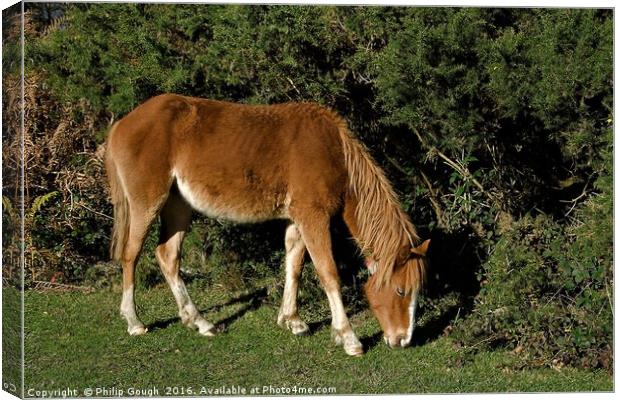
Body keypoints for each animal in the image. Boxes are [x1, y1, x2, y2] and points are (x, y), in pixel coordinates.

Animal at [104, 94, 428, 356]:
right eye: (401, 291)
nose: (403, 340)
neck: (333, 152)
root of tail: (122, 123)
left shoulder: (298, 220)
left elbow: (294, 267)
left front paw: (292, 320)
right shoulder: (313, 217)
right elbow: (328, 273)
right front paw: (348, 338)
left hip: (178, 206)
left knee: (168, 256)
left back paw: (199, 322)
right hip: (147, 204)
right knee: (131, 255)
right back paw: (134, 321)